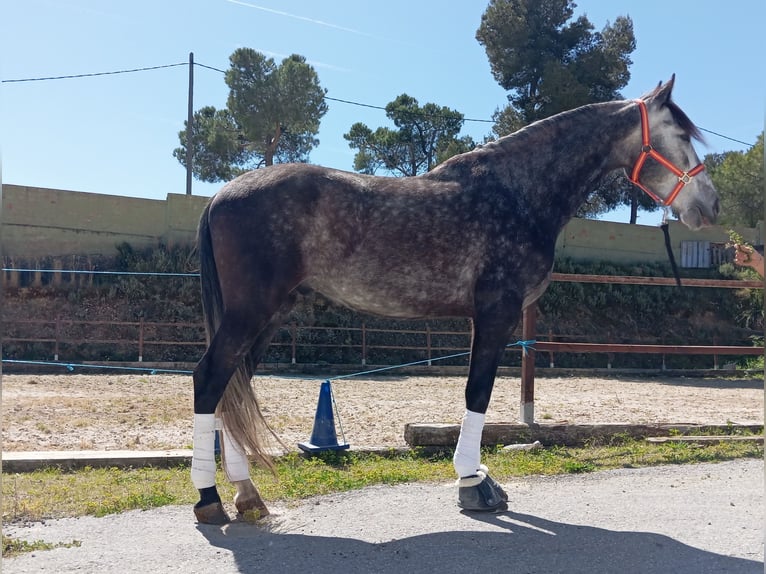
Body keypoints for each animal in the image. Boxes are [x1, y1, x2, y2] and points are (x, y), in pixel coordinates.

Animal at [190, 76, 719, 524]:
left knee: (234, 386)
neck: (517, 193)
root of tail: (221, 194)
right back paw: (209, 498)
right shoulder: (496, 312)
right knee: (210, 379)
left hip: (270, 314)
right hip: (251, 312)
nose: (710, 204)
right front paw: (473, 483)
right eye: (679, 131)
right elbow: (477, 392)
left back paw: (248, 495)